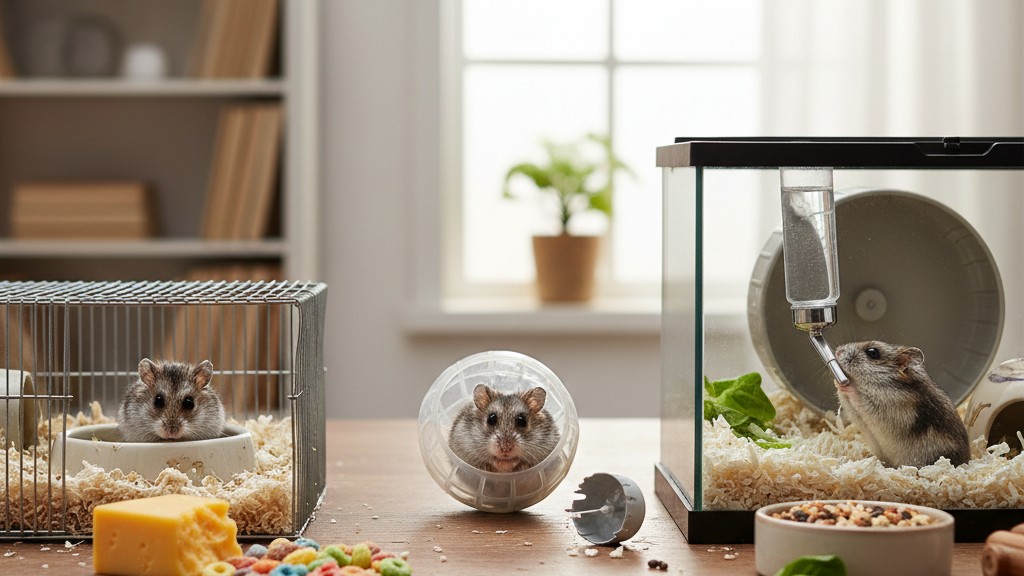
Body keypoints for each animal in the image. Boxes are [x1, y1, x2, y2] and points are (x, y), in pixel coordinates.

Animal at [834, 340, 970, 468]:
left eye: (873, 352)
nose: (837, 351)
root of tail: (967, 462)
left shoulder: (890, 408)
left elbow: (860, 398)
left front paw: (849, 386)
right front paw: (838, 382)